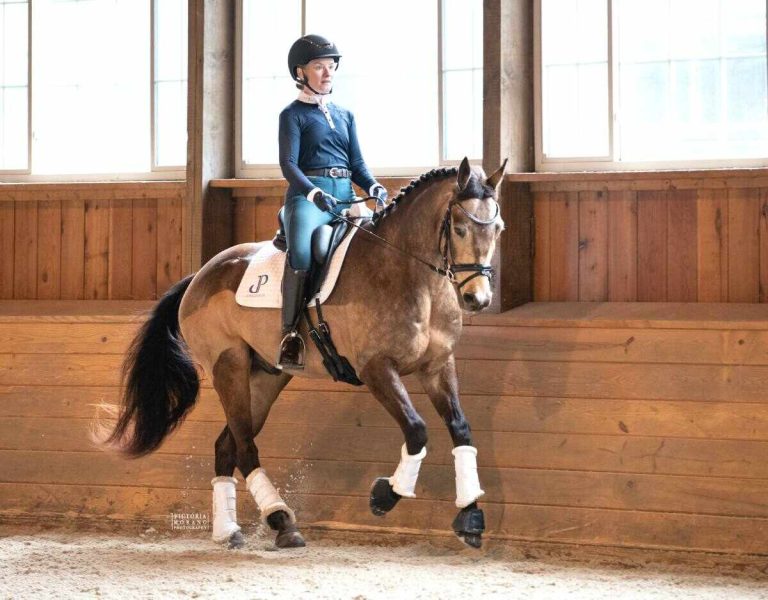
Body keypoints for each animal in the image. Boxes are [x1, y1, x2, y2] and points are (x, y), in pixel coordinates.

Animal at [103, 157, 510, 552]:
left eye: (499, 229)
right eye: (460, 228)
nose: (477, 299)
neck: (409, 273)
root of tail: (200, 275)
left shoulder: (437, 366)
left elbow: (460, 429)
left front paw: (470, 516)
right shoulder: (377, 368)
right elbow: (416, 429)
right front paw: (386, 495)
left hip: (266, 376)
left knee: (227, 445)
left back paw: (228, 531)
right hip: (228, 366)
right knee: (245, 447)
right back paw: (281, 520)